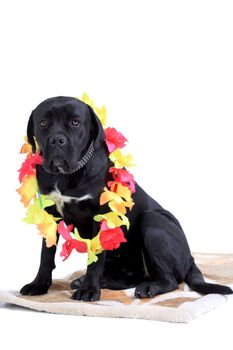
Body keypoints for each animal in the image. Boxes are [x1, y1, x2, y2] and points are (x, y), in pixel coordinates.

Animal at [20, 95, 231, 300]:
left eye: (75, 122)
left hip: (152, 220)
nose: (57, 140)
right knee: (133, 277)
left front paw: (89, 290)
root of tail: (191, 259)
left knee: (169, 280)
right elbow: (46, 255)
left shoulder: (101, 216)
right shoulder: (50, 216)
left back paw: (147, 288)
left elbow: (95, 259)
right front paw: (38, 284)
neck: (65, 177)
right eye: (43, 123)